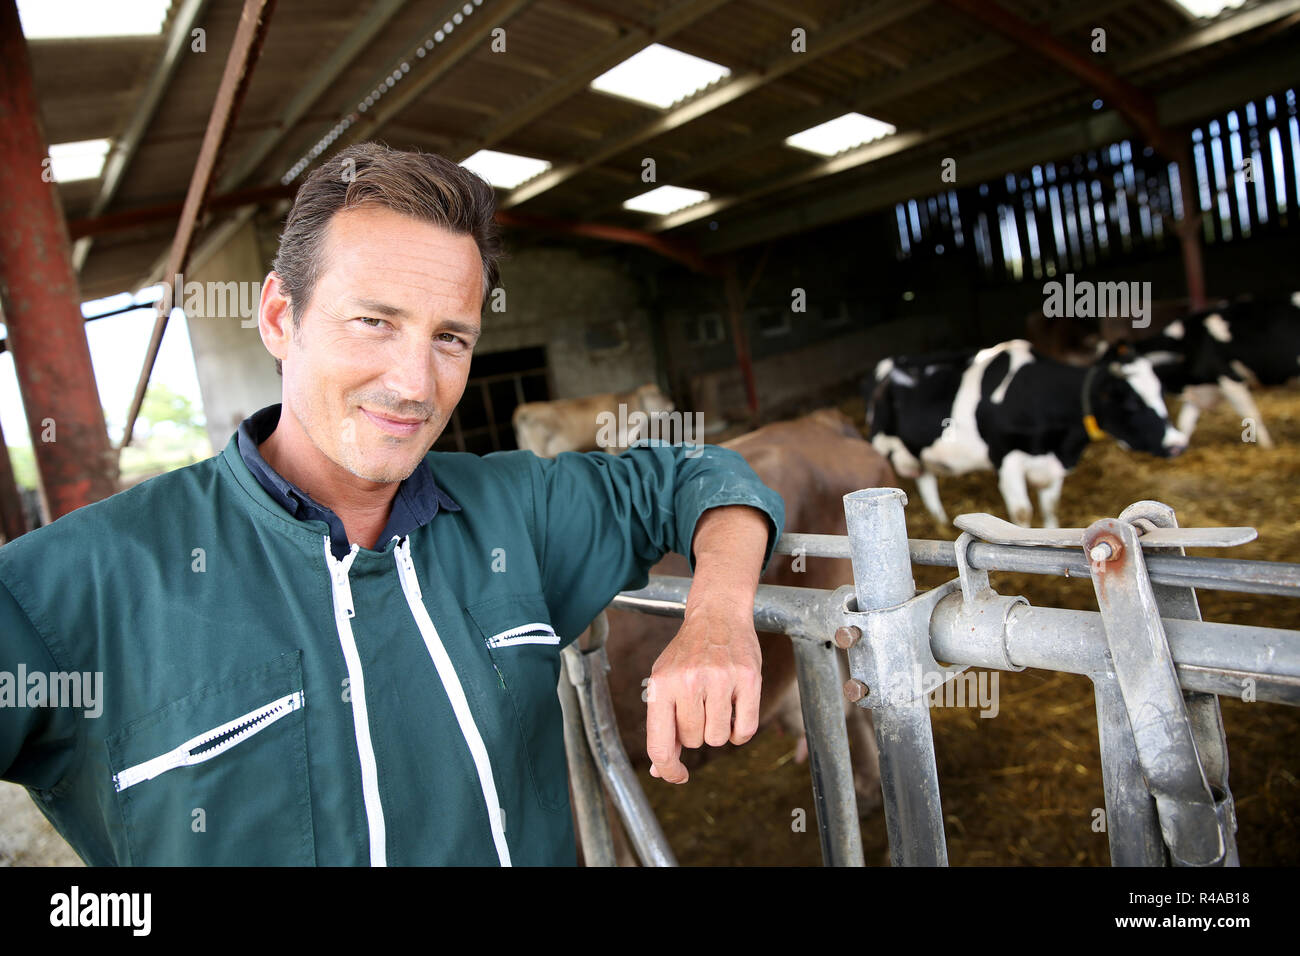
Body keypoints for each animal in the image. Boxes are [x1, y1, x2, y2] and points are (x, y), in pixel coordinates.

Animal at [868, 338, 1185, 530]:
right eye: (1131, 402)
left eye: (1161, 391)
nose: (1177, 444)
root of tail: (888, 364)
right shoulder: (1007, 460)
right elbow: (1022, 513)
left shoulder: (1054, 465)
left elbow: (1051, 507)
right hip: (881, 446)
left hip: (918, 451)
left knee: (926, 480)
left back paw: (941, 522)